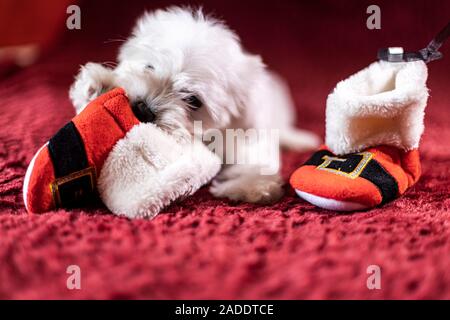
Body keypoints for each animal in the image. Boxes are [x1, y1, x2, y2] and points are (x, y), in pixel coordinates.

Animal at [69, 6, 320, 205]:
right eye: (149, 67)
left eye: (193, 100)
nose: (143, 109)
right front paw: (97, 83)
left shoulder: (249, 135)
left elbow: (257, 160)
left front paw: (252, 187)